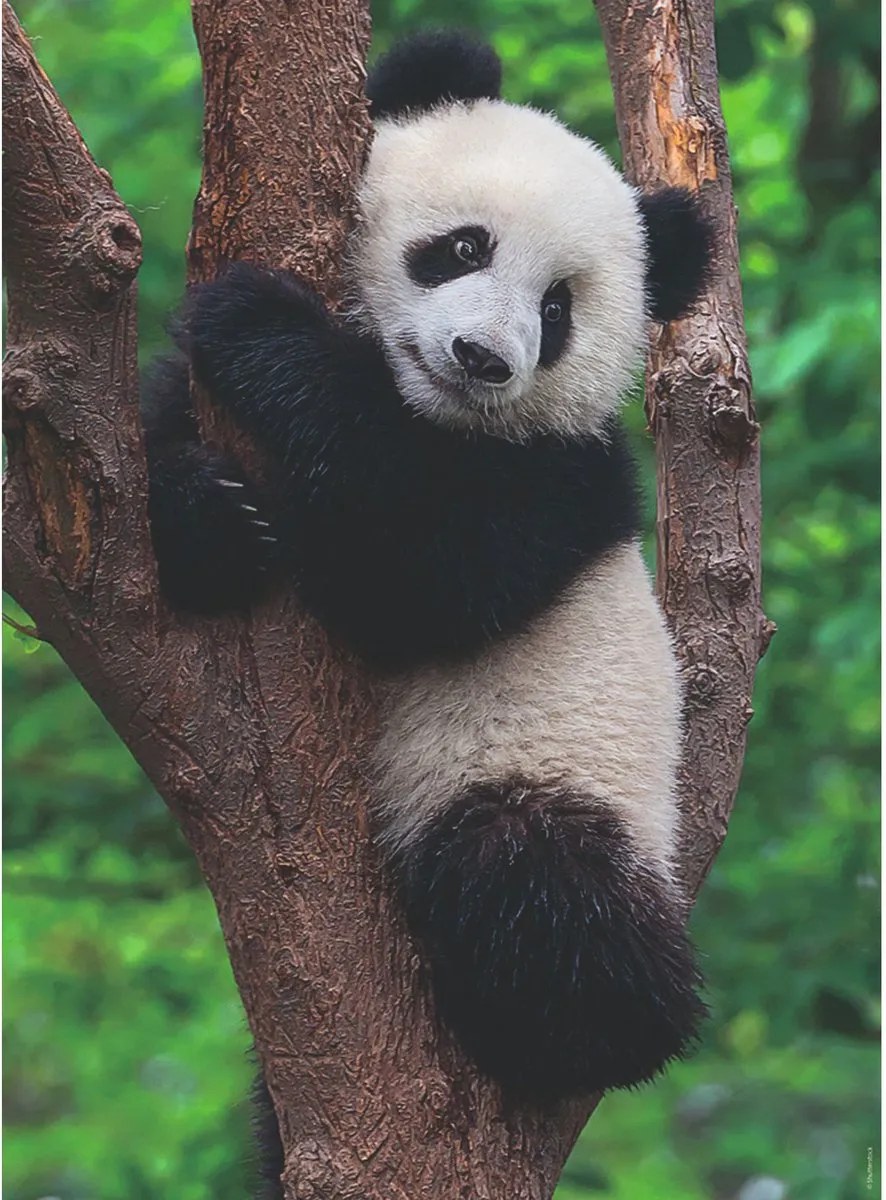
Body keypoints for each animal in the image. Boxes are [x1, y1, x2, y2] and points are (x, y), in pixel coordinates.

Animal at [143, 29, 713, 1119]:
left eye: (557, 309)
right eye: (462, 248)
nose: (483, 358)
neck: (430, 411)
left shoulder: (561, 482)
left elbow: (421, 576)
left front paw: (257, 323)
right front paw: (212, 518)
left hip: (552, 773)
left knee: (535, 882)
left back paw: (569, 1027)